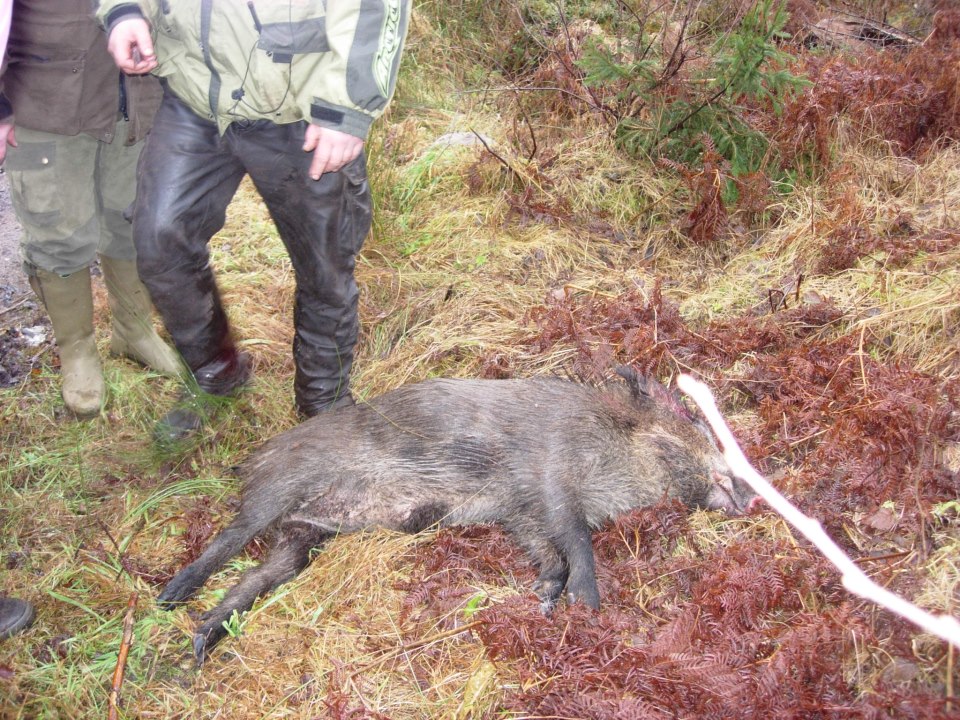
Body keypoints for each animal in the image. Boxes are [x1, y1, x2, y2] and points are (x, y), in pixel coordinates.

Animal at [157, 367, 757, 663]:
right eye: (692, 421)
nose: (751, 495)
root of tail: (253, 456)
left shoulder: (520, 511)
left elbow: (549, 551)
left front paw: (544, 597)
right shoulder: (551, 473)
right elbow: (577, 540)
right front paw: (586, 604)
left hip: (305, 536)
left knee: (256, 578)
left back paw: (200, 645)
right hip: (279, 489)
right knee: (230, 539)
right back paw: (170, 598)